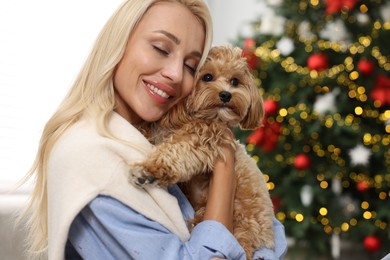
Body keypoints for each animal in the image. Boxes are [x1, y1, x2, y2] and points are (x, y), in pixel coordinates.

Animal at [129, 45, 272, 258]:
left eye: (235, 81)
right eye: (207, 77)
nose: (226, 95)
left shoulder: (206, 136)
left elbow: (178, 150)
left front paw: (148, 170)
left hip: (241, 221)